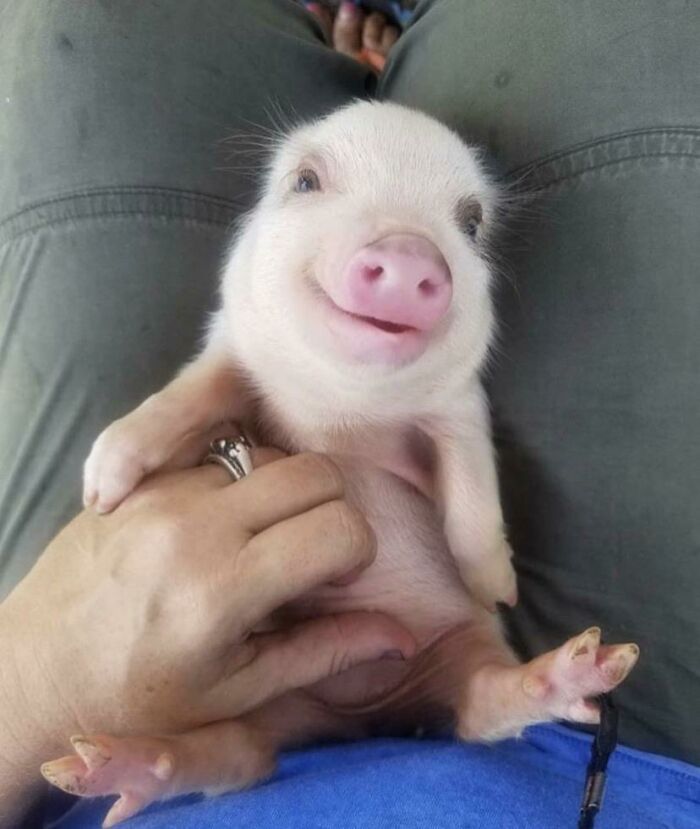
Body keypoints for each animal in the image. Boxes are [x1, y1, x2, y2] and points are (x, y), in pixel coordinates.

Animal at [41, 101, 639, 826]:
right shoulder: (230, 352)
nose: (410, 253)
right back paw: (101, 767)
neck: (342, 411)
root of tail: (363, 719)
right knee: (240, 755)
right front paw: (103, 490)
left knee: (480, 707)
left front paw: (496, 586)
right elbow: (188, 396)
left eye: (470, 222)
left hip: (459, 654)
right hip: (263, 704)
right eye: (306, 181)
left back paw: (582, 668)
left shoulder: (460, 406)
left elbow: (472, 487)